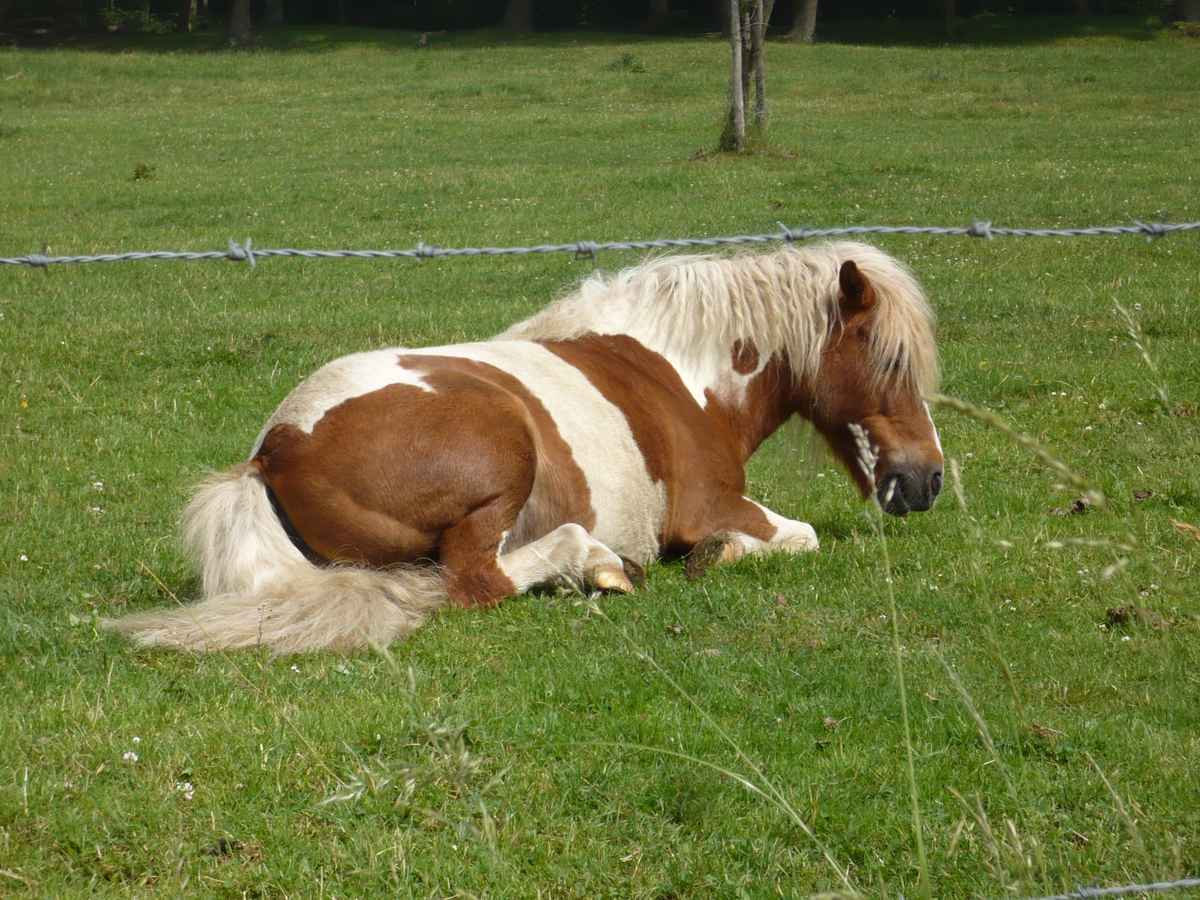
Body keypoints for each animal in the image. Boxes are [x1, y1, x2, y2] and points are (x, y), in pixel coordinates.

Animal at [104, 240, 944, 655]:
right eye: (890, 361)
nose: (928, 480)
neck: (683, 370)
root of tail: (273, 452)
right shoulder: (713, 507)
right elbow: (795, 536)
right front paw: (715, 556)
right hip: (504, 452)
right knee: (482, 579)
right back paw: (599, 566)